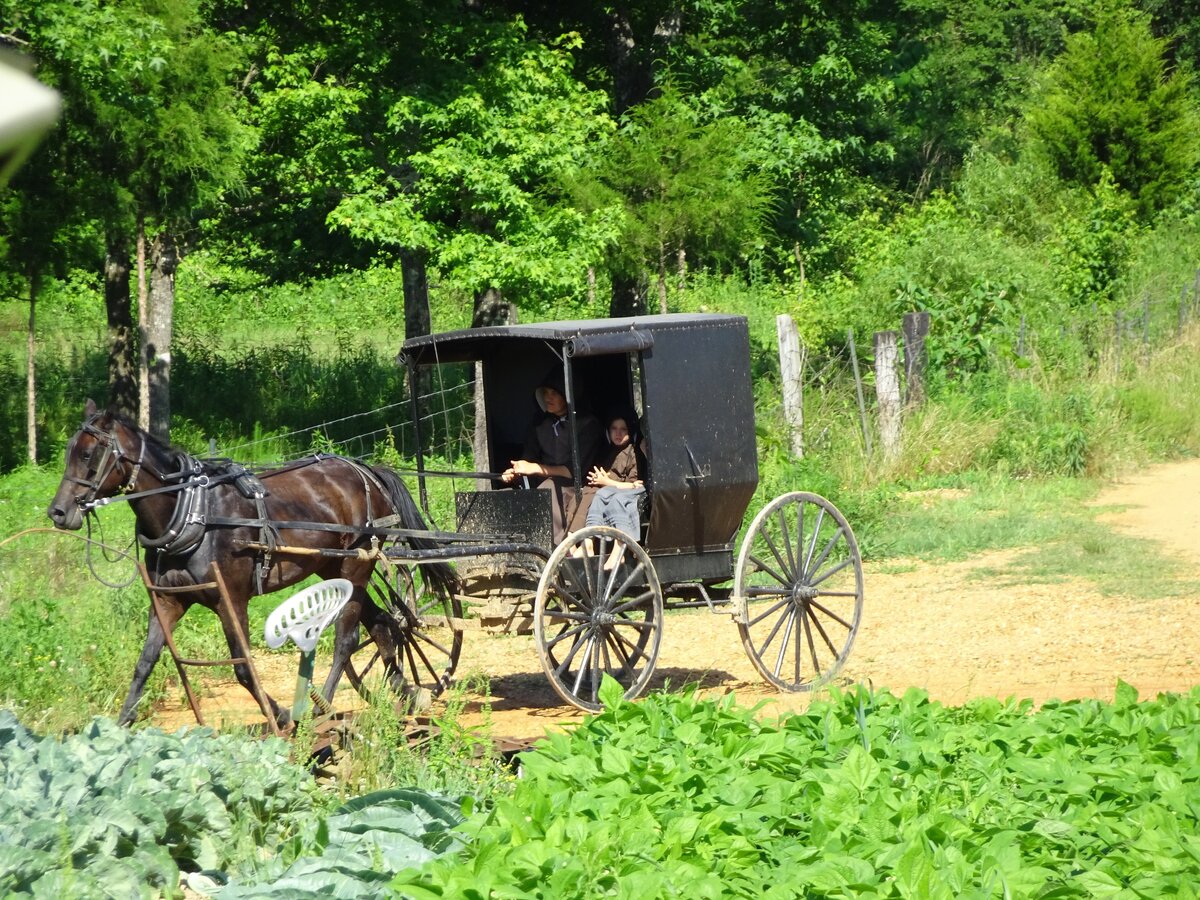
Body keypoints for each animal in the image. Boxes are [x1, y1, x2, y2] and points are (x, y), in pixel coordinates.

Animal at [44, 400, 451, 734]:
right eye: (68, 452)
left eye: (88, 454)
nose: (58, 512)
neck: (195, 512)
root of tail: (366, 470)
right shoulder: (168, 600)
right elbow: (145, 663)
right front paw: (121, 725)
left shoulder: (232, 600)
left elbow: (243, 668)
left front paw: (283, 716)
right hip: (335, 568)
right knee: (385, 624)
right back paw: (407, 691)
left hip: (357, 567)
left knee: (347, 639)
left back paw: (322, 705)